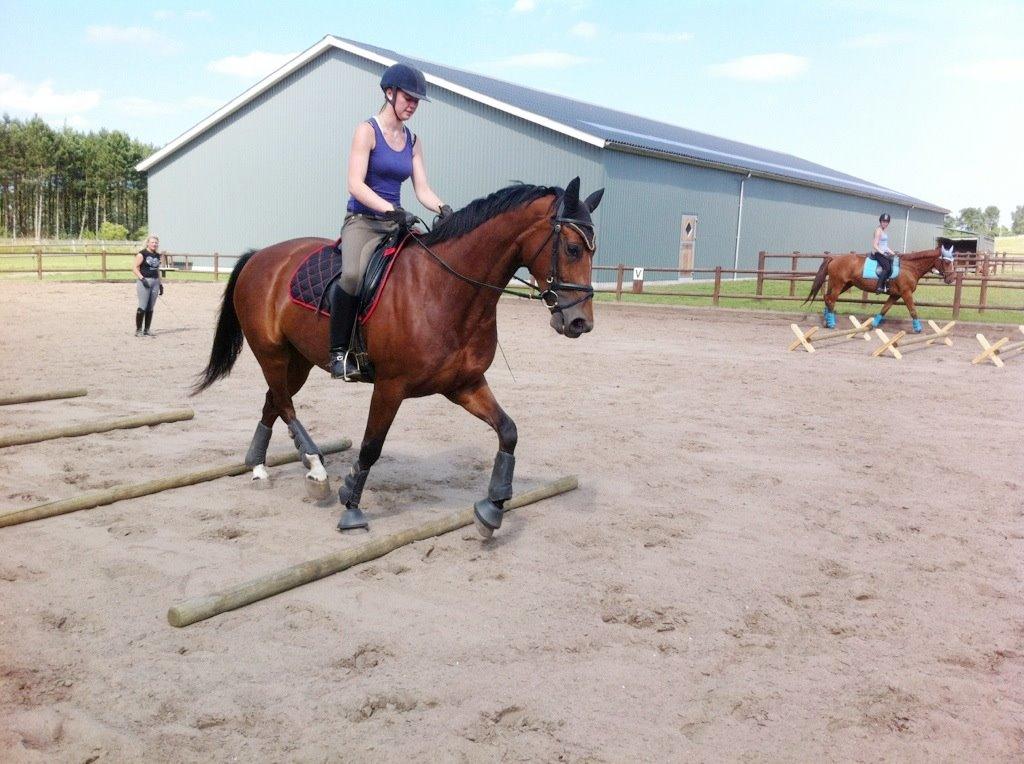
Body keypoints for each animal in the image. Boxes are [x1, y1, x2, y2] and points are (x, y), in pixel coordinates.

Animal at [193, 178, 598, 536]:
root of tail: (260, 256)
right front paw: (351, 507)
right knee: (285, 405)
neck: (445, 289)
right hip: (272, 354)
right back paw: (316, 470)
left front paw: (492, 509)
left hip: (298, 360)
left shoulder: (465, 384)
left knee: (273, 401)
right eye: (573, 249)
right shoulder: (390, 386)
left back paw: (259, 467)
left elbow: (508, 432)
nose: (579, 322)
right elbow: (371, 446)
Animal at [802, 240, 954, 329]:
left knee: (827, 298)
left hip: (844, 285)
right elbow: (912, 310)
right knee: (831, 300)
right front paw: (918, 328)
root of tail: (834, 258)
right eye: (947, 262)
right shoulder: (906, 293)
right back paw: (831, 323)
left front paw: (874, 324)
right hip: (838, 283)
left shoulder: (895, 295)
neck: (910, 267)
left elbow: (884, 309)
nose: (951, 279)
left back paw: (827, 320)